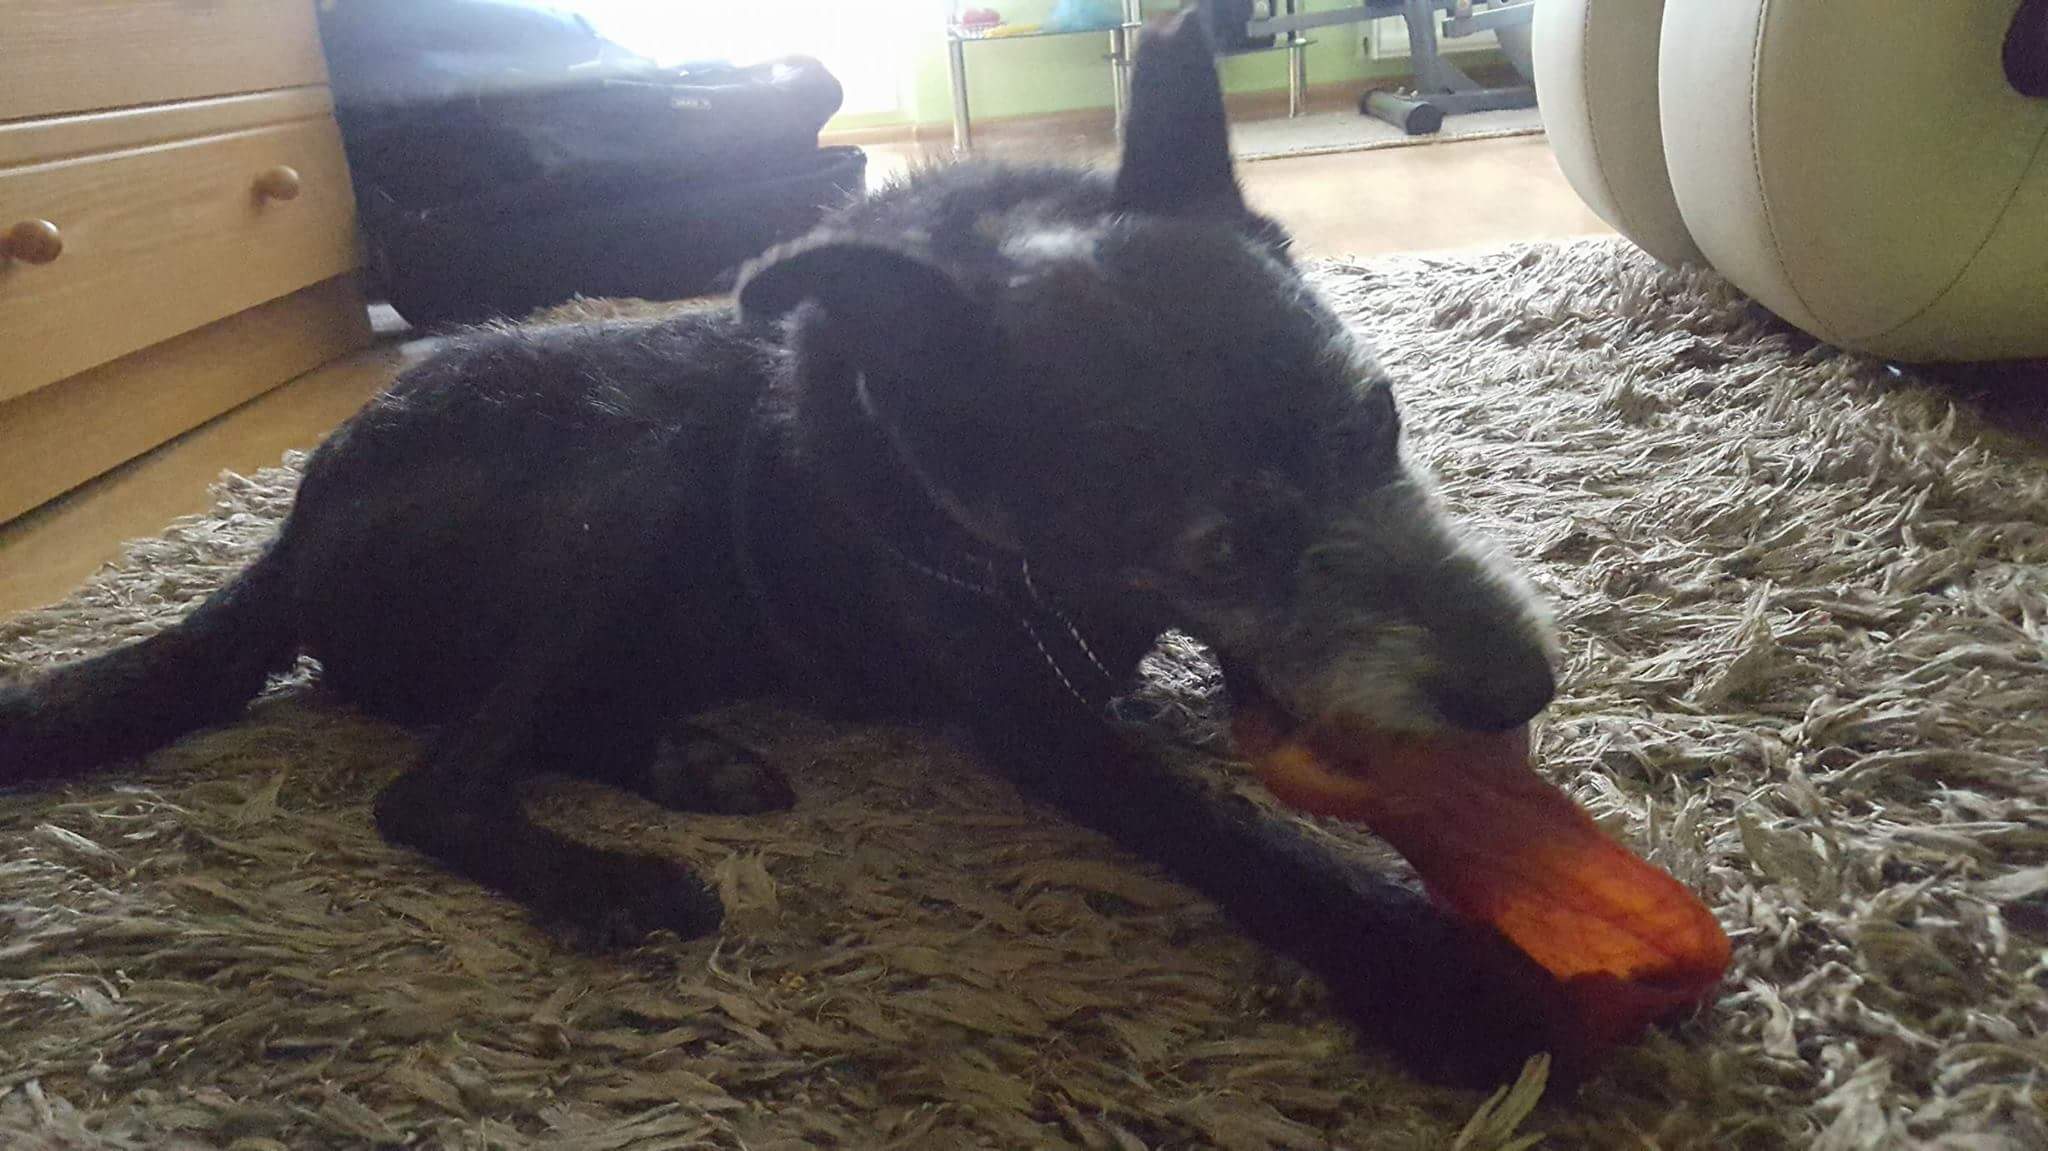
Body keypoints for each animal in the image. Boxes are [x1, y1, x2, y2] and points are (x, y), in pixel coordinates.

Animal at [0, 15, 1557, 1084]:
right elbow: (1217, 825)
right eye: (1218, 542)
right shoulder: (1031, 720)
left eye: (1379, 417)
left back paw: (685, 758)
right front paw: (1431, 970)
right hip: (624, 474)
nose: (1523, 690)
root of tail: (291, 527)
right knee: (429, 785)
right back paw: (612, 876)